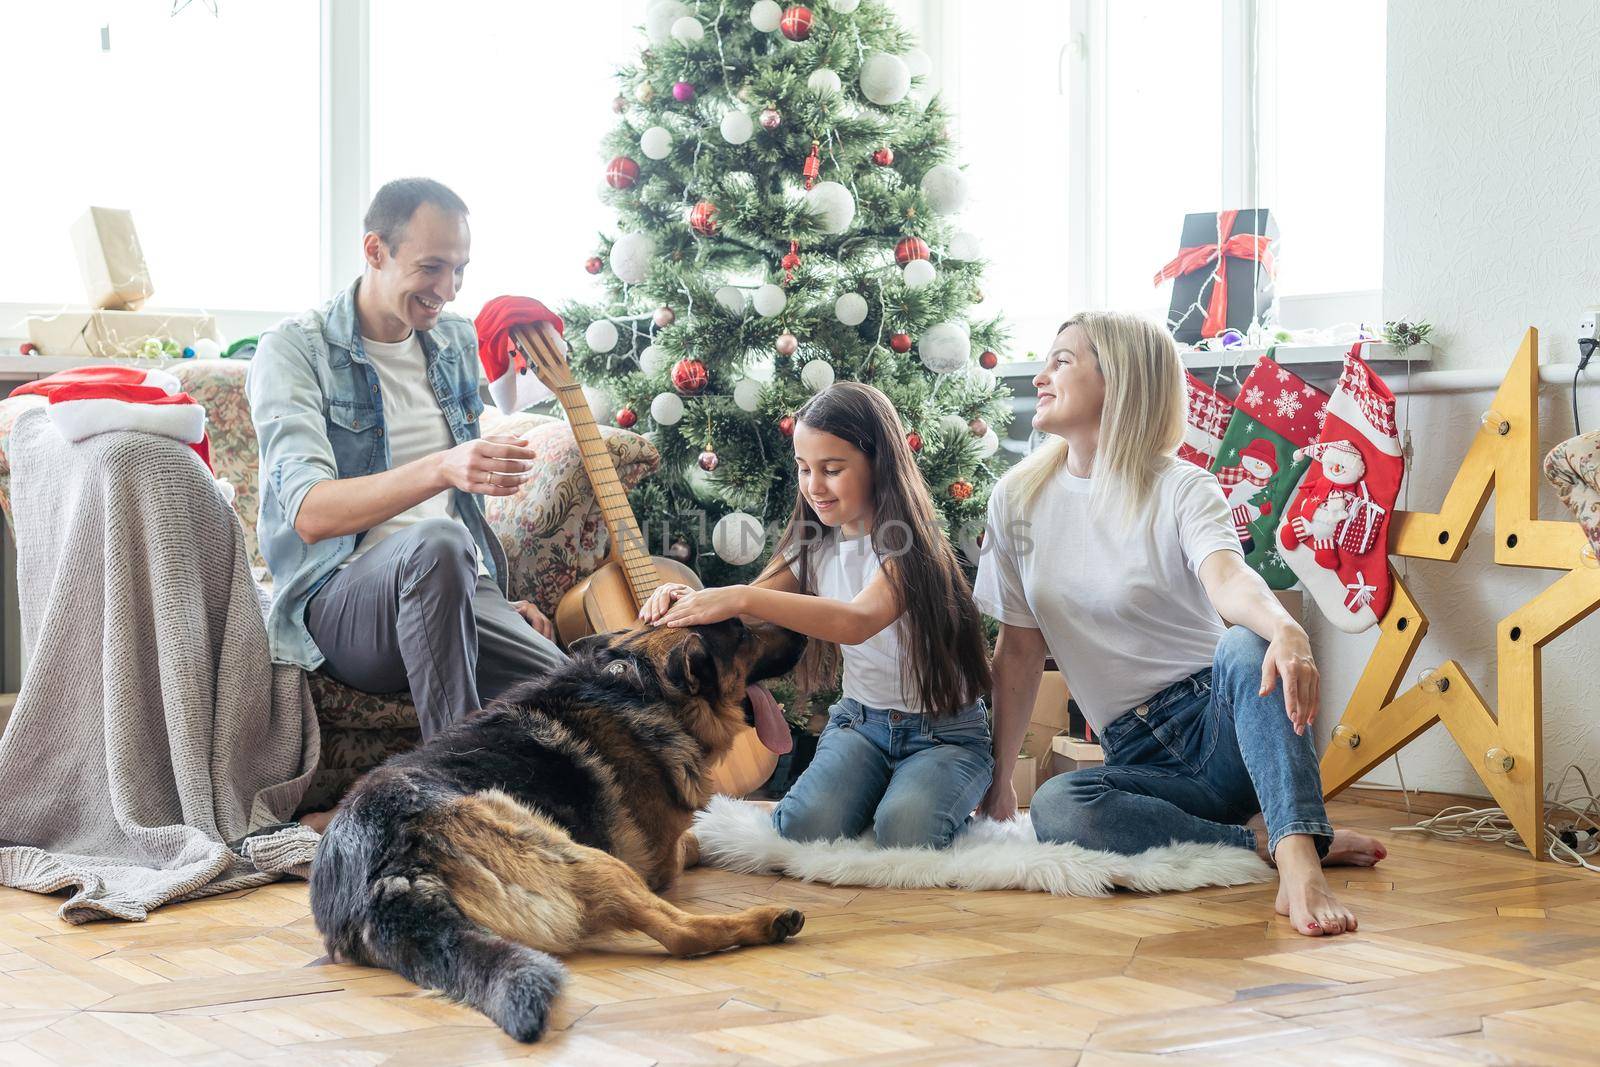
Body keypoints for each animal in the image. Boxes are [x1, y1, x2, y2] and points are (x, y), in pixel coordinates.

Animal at [308, 617, 812, 1043]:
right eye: (743, 634)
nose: (803, 631)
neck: (641, 685)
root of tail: (386, 875)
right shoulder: (660, 861)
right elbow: (692, 840)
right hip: (589, 860)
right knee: (683, 933)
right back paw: (766, 921)